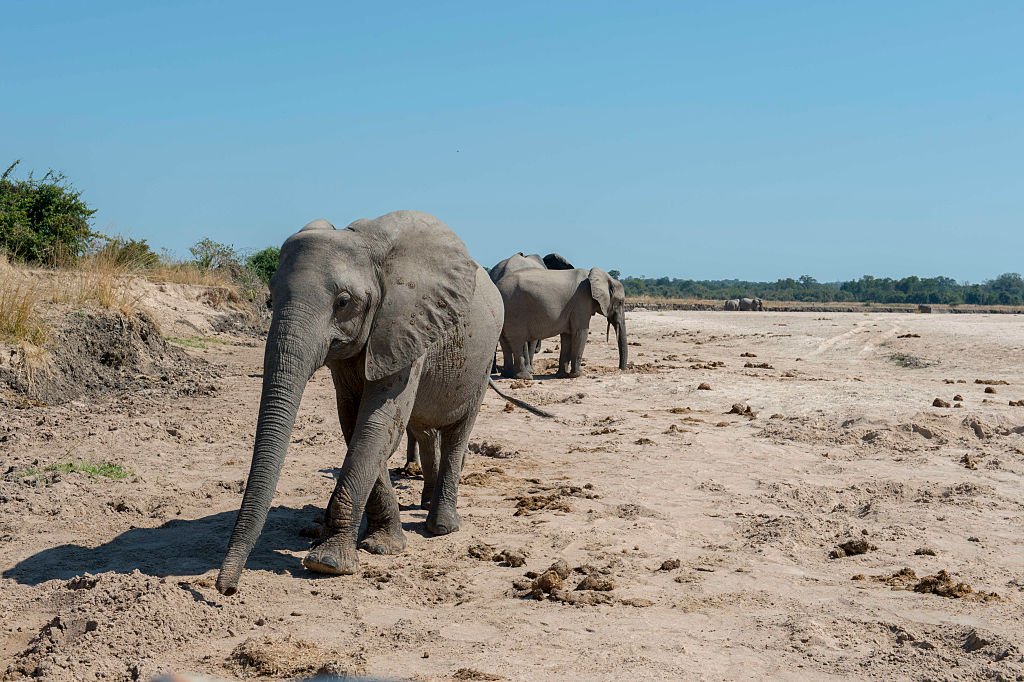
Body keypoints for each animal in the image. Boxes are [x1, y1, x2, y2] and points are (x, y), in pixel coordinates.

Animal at [219, 209, 516, 593]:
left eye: (343, 302)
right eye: (270, 298)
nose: (226, 588)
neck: (365, 245)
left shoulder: (404, 323)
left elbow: (376, 424)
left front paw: (327, 563)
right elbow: (354, 423)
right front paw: (381, 546)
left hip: (482, 361)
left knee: (457, 434)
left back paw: (442, 526)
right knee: (424, 430)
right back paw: (424, 504)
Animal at [493, 266, 626, 378]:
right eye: (620, 302)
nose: (621, 369)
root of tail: (497, 287)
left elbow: (567, 335)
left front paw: (561, 375)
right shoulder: (582, 302)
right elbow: (580, 332)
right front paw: (577, 375)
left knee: (504, 341)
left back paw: (507, 375)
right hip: (515, 311)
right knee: (517, 341)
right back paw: (525, 377)